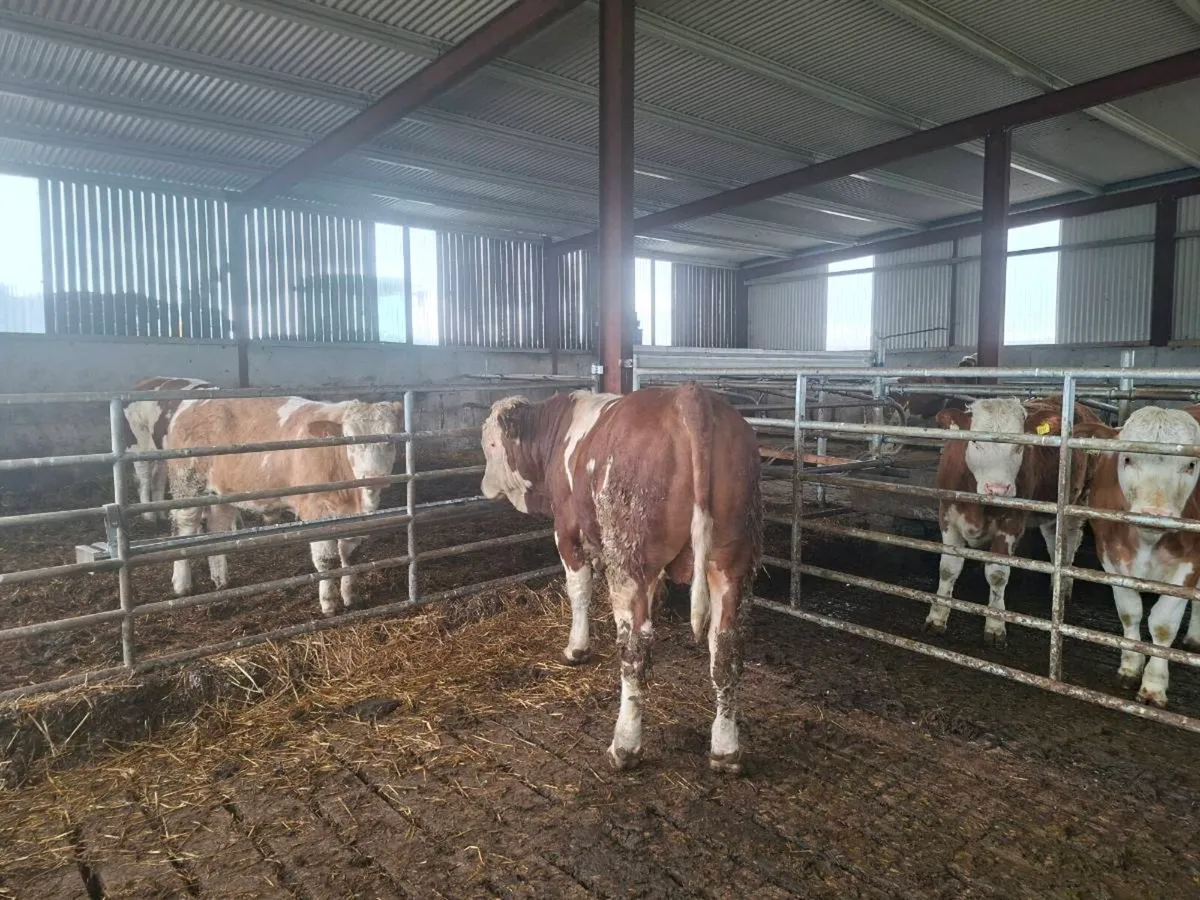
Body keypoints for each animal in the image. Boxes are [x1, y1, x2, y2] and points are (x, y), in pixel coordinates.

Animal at [123, 376, 215, 522]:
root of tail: (145, 381)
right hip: (137, 444)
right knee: (143, 480)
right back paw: (148, 517)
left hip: (161, 450)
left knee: (157, 479)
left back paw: (161, 514)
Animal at [165, 396, 404, 616]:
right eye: (350, 440)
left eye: (390, 441)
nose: (374, 478)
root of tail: (191, 404)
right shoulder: (315, 509)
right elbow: (326, 559)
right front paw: (328, 603)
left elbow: (350, 554)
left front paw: (351, 596)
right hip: (187, 485)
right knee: (183, 529)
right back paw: (182, 585)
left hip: (221, 494)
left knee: (218, 527)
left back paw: (220, 580)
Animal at [480, 384, 762, 773]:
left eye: (491, 444)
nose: (483, 486)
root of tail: (690, 395)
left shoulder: (567, 530)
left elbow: (578, 591)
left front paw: (576, 649)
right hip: (730, 562)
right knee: (725, 646)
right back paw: (725, 748)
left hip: (630, 560)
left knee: (634, 648)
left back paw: (625, 746)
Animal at [927, 395, 1099, 647]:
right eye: (975, 441)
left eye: (1019, 445)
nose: (998, 489)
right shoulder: (947, 515)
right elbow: (948, 569)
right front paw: (937, 616)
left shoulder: (1011, 523)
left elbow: (997, 575)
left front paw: (995, 626)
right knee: (1053, 540)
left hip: (1080, 498)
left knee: (1071, 540)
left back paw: (1065, 586)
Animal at [1073, 405, 1200, 708]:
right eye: (1128, 458)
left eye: (1191, 464)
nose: (1154, 514)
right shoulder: (1111, 556)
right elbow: (1130, 612)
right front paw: (1130, 667)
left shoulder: (1189, 565)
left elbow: (1163, 625)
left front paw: (1154, 685)